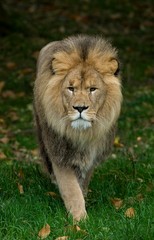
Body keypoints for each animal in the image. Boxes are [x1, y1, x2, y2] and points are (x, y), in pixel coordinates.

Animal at [33, 34, 122, 220]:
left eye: (93, 89)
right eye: (70, 88)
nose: (80, 108)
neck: (81, 134)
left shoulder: (91, 155)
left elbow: (82, 182)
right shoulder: (60, 153)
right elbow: (71, 189)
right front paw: (80, 219)